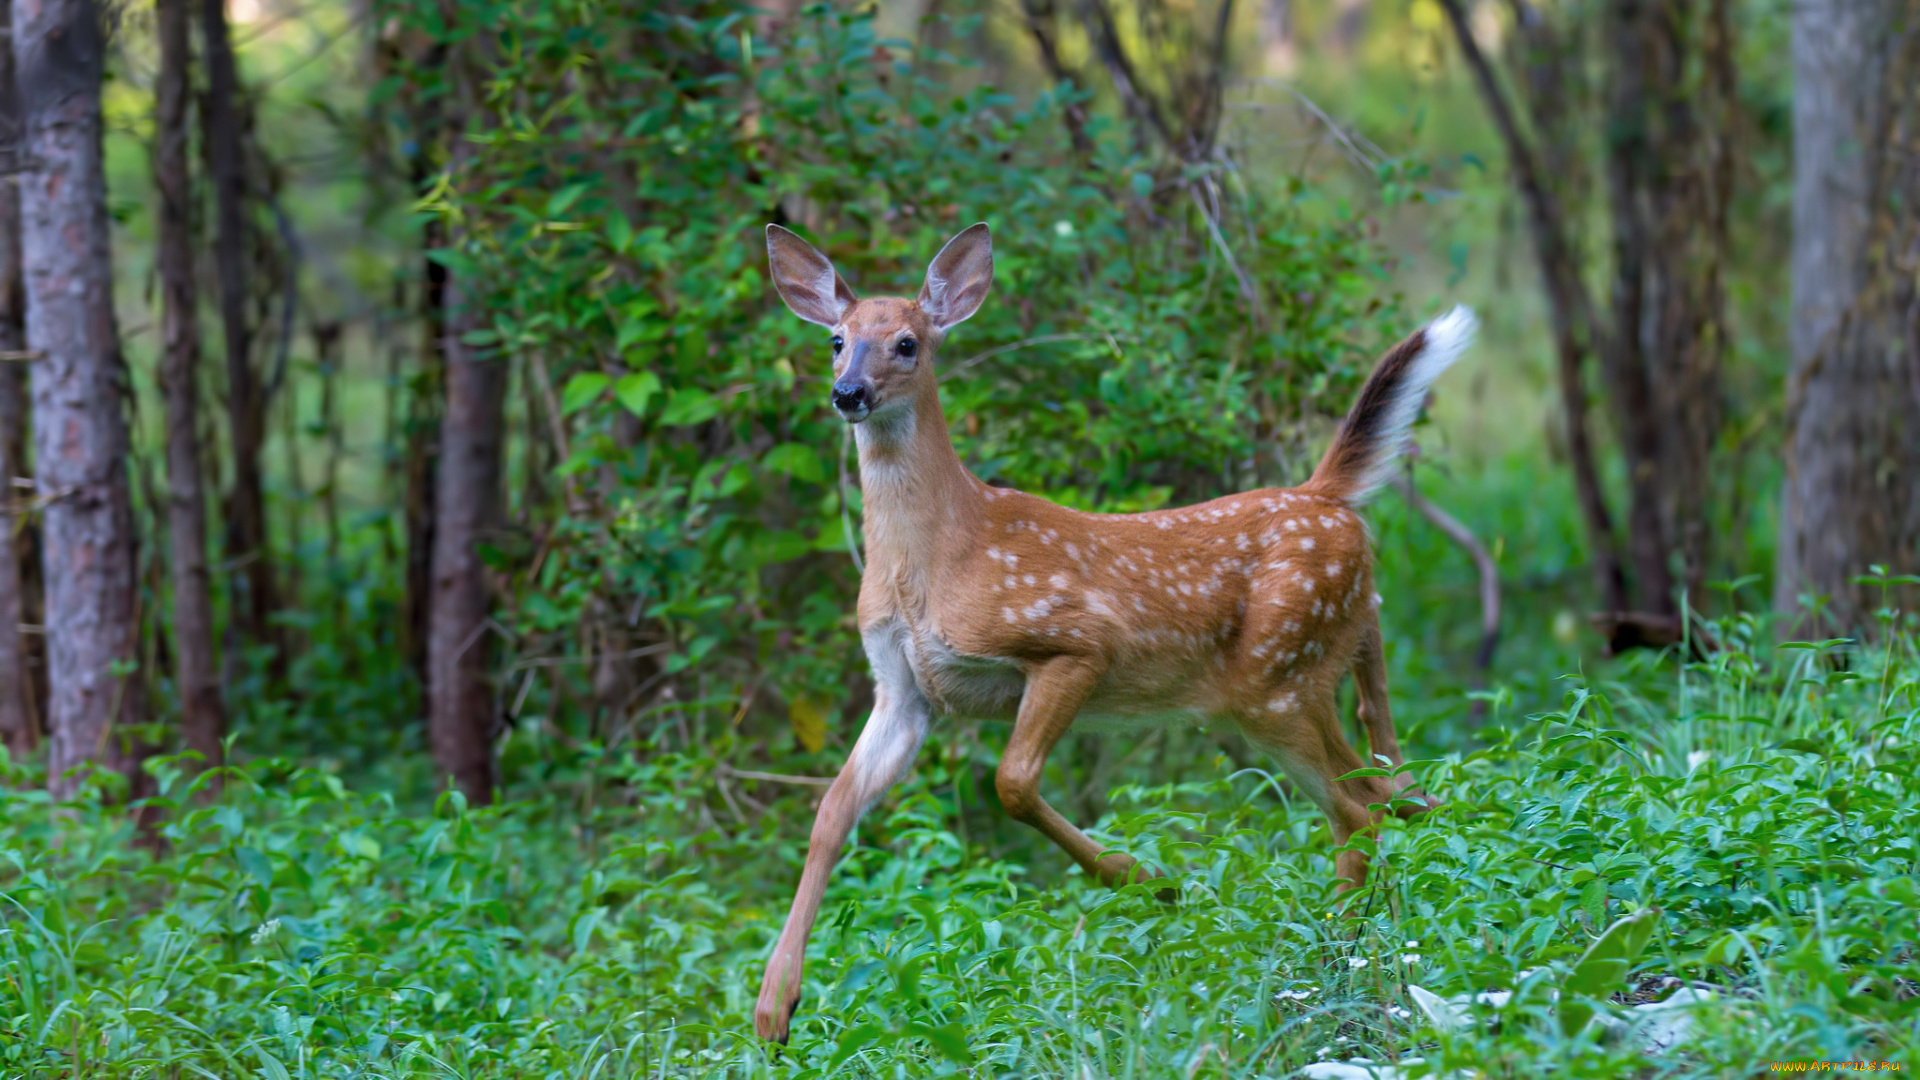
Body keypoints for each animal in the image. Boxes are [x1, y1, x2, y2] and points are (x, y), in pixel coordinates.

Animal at [748, 219, 1466, 1037]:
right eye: (836, 339)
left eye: (907, 342)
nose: (849, 394)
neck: (936, 559)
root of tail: (1328, 497)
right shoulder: (905, 691)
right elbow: (831, 810)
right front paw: (774, 1008)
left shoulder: (1076, 645)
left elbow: (1012, 782)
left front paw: (1150, 880)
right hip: (1314, 667)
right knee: (1392, 795)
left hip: (1278, 679)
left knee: (1359, 813)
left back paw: (1329, 970)